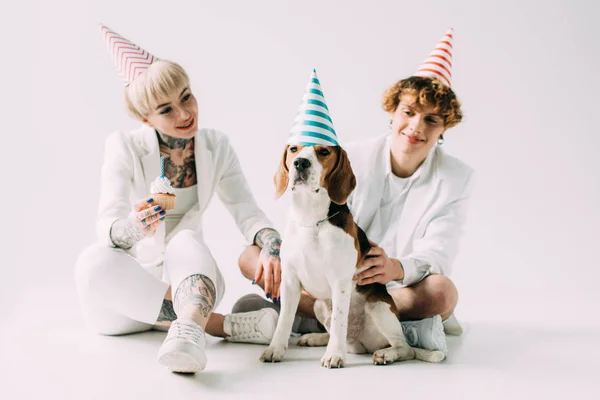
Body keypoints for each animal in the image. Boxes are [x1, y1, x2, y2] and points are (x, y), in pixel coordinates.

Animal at [258, 145, 446, 368]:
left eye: (323, 151)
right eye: (294, 149)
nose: (300, 163)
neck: (311, 218)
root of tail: (363, 342)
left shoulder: (340, 282)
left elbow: (339, 320)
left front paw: (334, 355)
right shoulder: (289, 281)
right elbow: (284, 320)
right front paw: (275, 350)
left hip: (379, 306)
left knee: (406, 348)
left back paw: (386, 354)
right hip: (319, 305)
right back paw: (316, 337)